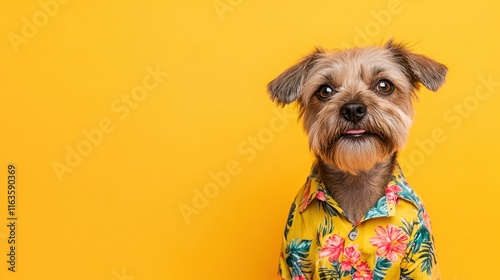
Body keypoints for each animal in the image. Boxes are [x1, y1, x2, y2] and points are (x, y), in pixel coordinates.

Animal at [268, 40, 448, 280]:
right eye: (324, 91)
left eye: (384, 86)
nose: (353, 108)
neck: (357, 177)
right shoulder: (295, 261)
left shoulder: (419, 258)